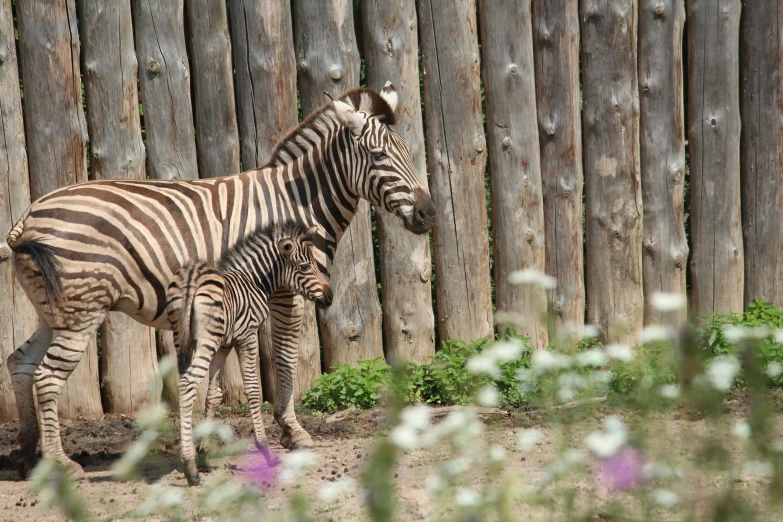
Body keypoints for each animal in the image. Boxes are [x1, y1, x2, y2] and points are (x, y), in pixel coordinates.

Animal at [168, 220, 330, 484]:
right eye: (306, 266)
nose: (330, 296)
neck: (253, 279)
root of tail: (192, 278)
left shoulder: (223, 345)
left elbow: (212, 395)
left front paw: (204, 454)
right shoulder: (247, 335)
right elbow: (253, 390)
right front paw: (265, 450)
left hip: (183, 338)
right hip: (205, 341)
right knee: (188, 384)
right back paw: (189, 468)